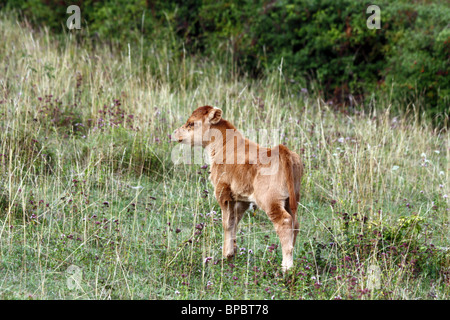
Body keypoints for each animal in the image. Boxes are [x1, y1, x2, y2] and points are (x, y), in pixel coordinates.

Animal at [174, 106, 304, 272]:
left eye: (191, 123)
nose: (175, 133)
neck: (224, 145)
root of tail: (282, 151)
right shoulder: (242, 199)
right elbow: (235, 221)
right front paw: (232, 253)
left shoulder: (223, 193)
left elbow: (227, 223)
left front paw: (226, 254)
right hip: (292, 200)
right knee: (295, 223)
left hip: (270, 201)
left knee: (284, 222)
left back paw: (287, 267)